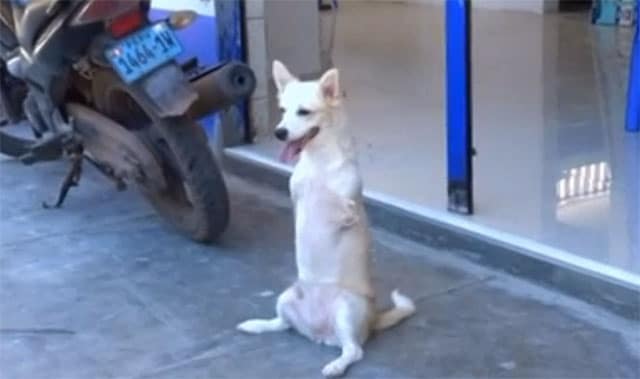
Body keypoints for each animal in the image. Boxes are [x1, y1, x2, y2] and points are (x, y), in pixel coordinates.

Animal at [236, 60, 416, 378]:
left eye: (304, 112)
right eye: (282, 110)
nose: (280, 132)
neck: (317, 161)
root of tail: (317, 331)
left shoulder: (347, 208)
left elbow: (334, 200)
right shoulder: (297, 193)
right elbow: (303, 192)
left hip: (345, 308)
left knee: (354, 350)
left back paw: (336, 365)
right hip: (286, 297)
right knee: (281, 324)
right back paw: (256, 325)